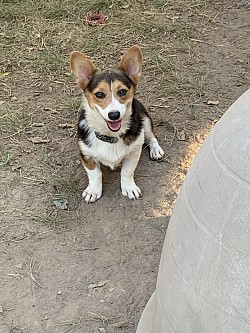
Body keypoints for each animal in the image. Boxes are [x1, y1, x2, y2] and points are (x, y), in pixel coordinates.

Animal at [70, 45, 164, 202]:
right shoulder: (86, 154)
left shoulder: (134, 152)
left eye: (122, 91)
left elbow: (127, 171)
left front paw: (129, 188)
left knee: (151, 136)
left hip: (144, 119)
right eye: (99, 94)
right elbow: (95, 174)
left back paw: (156, 150)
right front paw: (93, 191)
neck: (110, 136)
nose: (114, 115)